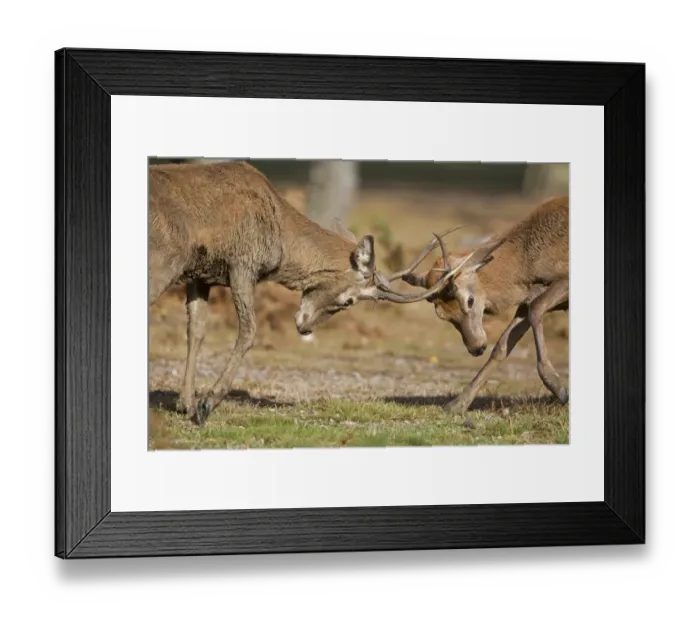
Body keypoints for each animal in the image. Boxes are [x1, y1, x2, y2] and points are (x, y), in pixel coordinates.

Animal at [148, 160, 469, 426]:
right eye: (349, 301)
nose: (305, 327)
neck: (280, 243)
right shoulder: (242, 264)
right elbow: (249, 330)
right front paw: (207, 404)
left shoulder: (201, 274)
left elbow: (196, 330)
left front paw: (186, 404)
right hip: (164, 262)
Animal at [399, 195, 569, 416]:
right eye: (443, 315)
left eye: (470, 300)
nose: (476, 347)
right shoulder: (527, 300)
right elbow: (501, 347)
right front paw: (456, 404)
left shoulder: (562, 281)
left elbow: (537, 308)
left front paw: (559, 388)